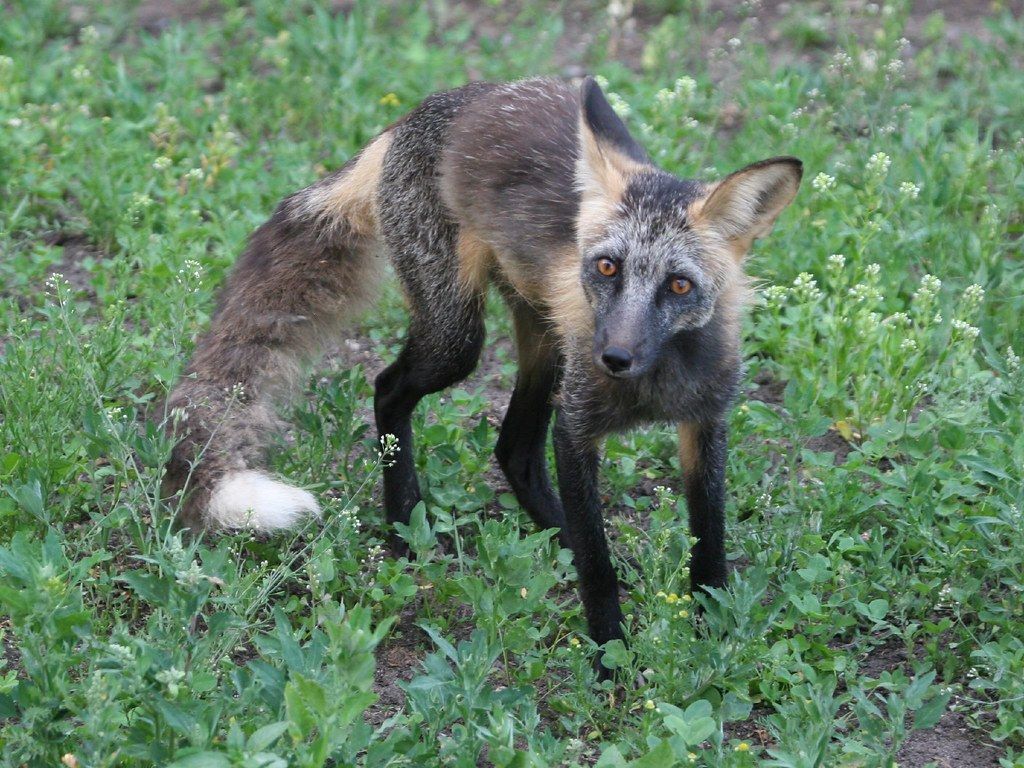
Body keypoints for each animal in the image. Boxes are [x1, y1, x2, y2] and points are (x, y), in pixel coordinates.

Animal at [161, 76, 801, 677]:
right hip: (459, 341)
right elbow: (597, 566)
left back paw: (554, 536)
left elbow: (710, 538)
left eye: (679, 285)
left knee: (512, 449)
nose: (614, 357)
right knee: (388, 389)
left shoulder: (706, 422)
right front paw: (609, 659)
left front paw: (713, 630)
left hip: (545, 344)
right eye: (607, 267)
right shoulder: (576, 427)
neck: (654, 383)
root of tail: (426, 109)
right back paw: (404, 529)